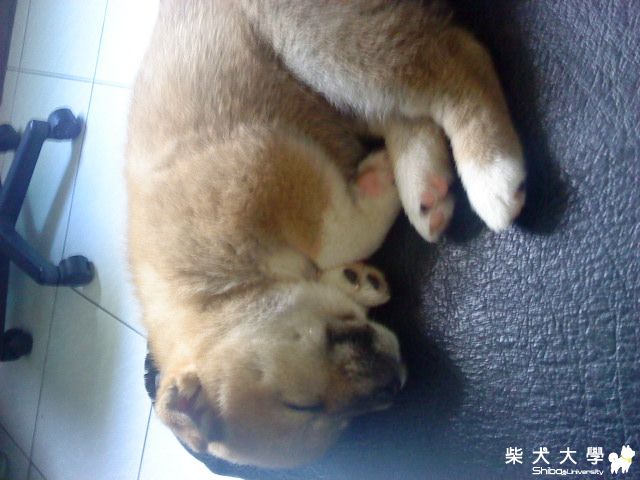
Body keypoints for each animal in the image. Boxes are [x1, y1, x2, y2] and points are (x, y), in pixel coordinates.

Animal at [126, 0, 525, 469]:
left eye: (300, 405)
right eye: (332, 421)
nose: (397, 383)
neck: (209, 290)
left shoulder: (272, 162)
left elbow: (340, 232)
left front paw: (380, 184)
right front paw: (358, 279)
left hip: (314, 43)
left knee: (456, 58)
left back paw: (492, 173)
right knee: (409, 98)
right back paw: (425, 185)